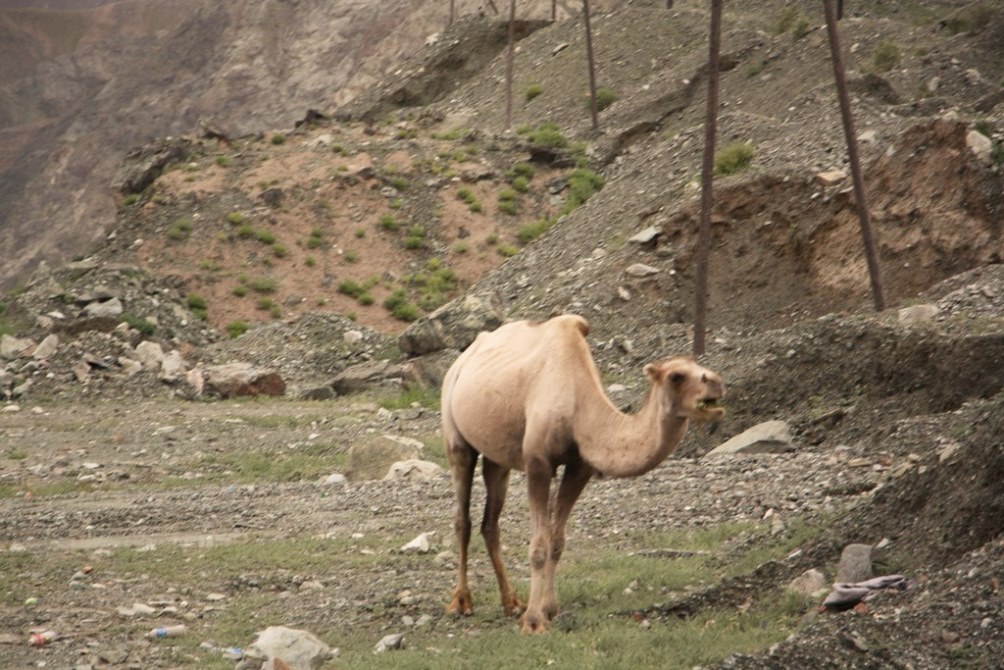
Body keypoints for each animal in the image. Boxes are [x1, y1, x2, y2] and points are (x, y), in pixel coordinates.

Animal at [439, 315, 722, 634]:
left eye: (700, 367)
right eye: (676, 376)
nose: (717, 383)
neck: (579, 406)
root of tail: (462, 359)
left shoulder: (579, 467)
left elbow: (557, 541)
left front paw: (548, 610)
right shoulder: (537, 462)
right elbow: (539, 545)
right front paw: (534, 621)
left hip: (498, 456)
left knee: (490, 522)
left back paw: (512, 602)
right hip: (455, 435)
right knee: (462, 519)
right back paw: (460, 603)